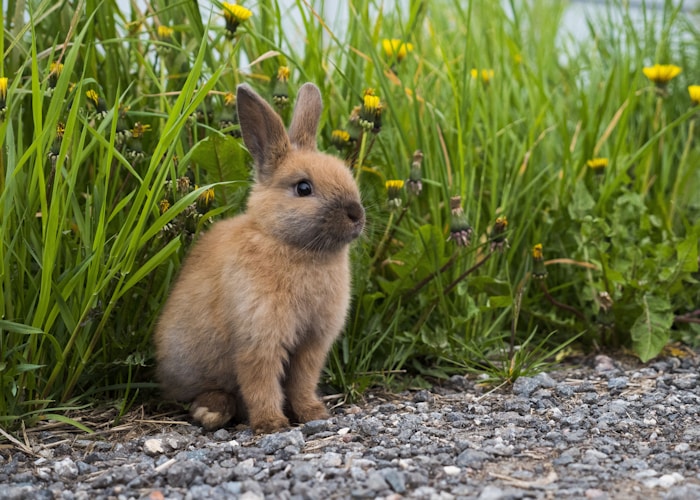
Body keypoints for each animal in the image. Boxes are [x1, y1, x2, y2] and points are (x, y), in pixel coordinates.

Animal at [154, 82, 365, 433]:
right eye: (303, 188)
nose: (356, 214)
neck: (290, 245)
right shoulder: (258, 338)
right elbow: (261, 382)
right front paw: (271, 423)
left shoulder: (312, 344)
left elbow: (302, 381)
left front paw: (314, 413)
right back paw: (210, 411)